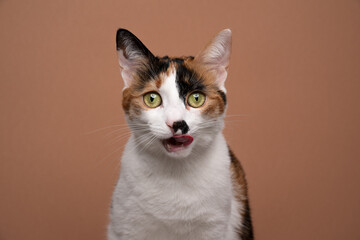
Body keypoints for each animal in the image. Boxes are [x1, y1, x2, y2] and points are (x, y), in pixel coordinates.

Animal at [107, 28, 253, 240]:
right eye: (152, 99)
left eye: (196, 98)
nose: (177, 124)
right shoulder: (127, 228)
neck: (175, 172)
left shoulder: (214, 227)